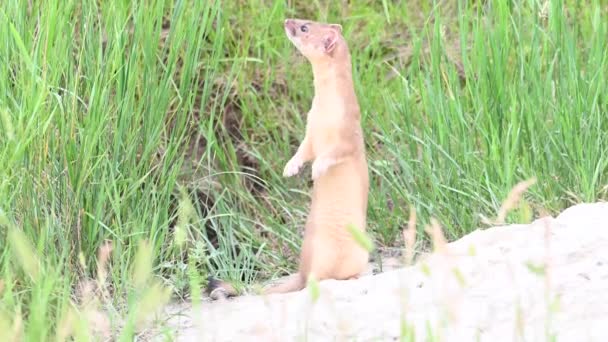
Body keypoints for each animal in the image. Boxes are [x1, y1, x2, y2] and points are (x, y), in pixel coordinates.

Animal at [207, 17, 368, 298]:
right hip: (316, 248)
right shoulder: (310, 129)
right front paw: (291, 167)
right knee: (312, 278)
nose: (287, 20)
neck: (324, 111)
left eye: (305, 27)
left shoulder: (347, 132)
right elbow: (304, 150)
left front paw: (317, 168)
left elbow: (335, 152)